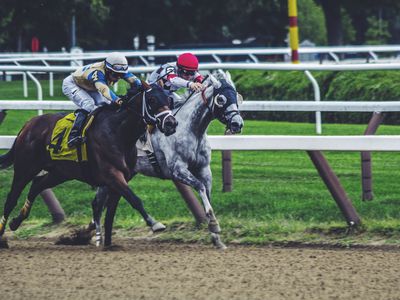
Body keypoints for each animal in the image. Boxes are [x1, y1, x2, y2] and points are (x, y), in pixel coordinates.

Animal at [0, 81, 178, 248]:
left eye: (169, 99)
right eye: (152, 99)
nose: (171, 123)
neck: (118, 132)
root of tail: (28, 125)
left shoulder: (122, 178)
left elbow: (111, 212)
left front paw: (108, 244)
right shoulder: (112, 174)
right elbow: (134, 199)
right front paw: (155, 224)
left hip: (60, 172)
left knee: (37, 185)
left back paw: (16, 222)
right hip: (25, 168)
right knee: (11, 199)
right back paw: (3, 236)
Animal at [90, 73, 244, 248]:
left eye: (237, 97)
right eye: (221, 99)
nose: (237, 124)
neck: (190, 130)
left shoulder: (204, 168)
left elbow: (207, 193)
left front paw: (216, 237)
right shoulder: (177, 170)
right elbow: (200, 187)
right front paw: (213, 225)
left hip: (123, 175)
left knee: (102, 202)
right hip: (111, 172)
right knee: (97, 203)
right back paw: (97, 238)